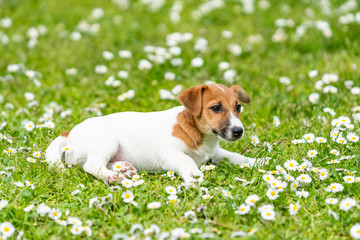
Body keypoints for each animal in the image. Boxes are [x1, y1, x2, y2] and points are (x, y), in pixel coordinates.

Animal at [46, 84, 262, 186]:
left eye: (238, 107)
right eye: (216, 108)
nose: (238, 131)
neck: (200, 135)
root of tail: (71, 131)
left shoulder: (215, 153)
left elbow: (236, 156)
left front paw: (258, 161)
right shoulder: (170, 154)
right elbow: (187, 161)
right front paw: (194, 177)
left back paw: (124, 169)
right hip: (107, 142)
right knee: (91, 165)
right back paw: (113, 177)